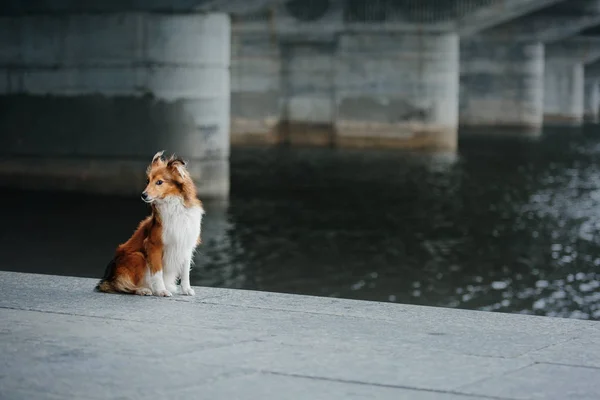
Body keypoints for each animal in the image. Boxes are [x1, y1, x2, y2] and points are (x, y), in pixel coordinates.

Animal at [95, 152, 204, 296]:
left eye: (159, 182)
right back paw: (143, 289)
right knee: (122, 285)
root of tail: (108, 277)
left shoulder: (186, 244)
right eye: (147, 181)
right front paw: (162, 291)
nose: (143, 195)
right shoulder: (154, 245)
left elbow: (186, 272)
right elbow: (158, 272)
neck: (173, 205)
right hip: (138, 256)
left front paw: (186, 289)